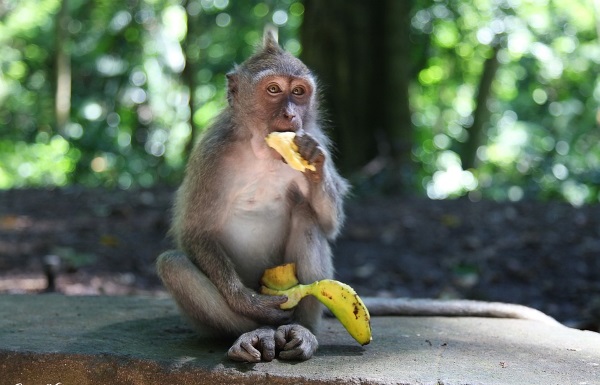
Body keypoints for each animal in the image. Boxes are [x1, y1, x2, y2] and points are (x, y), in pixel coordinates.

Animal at [157, 29, 560, 364]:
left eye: (298, 92)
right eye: (273, 90)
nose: (290, 115)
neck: (262, 150)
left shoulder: (320, 137)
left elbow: (329, 224)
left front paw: (313, 163)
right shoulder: (211, 153)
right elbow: (195, 231)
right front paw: (250, 303)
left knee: (306, 218)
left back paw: (302, 331)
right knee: (173, 264)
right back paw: (253, 331)